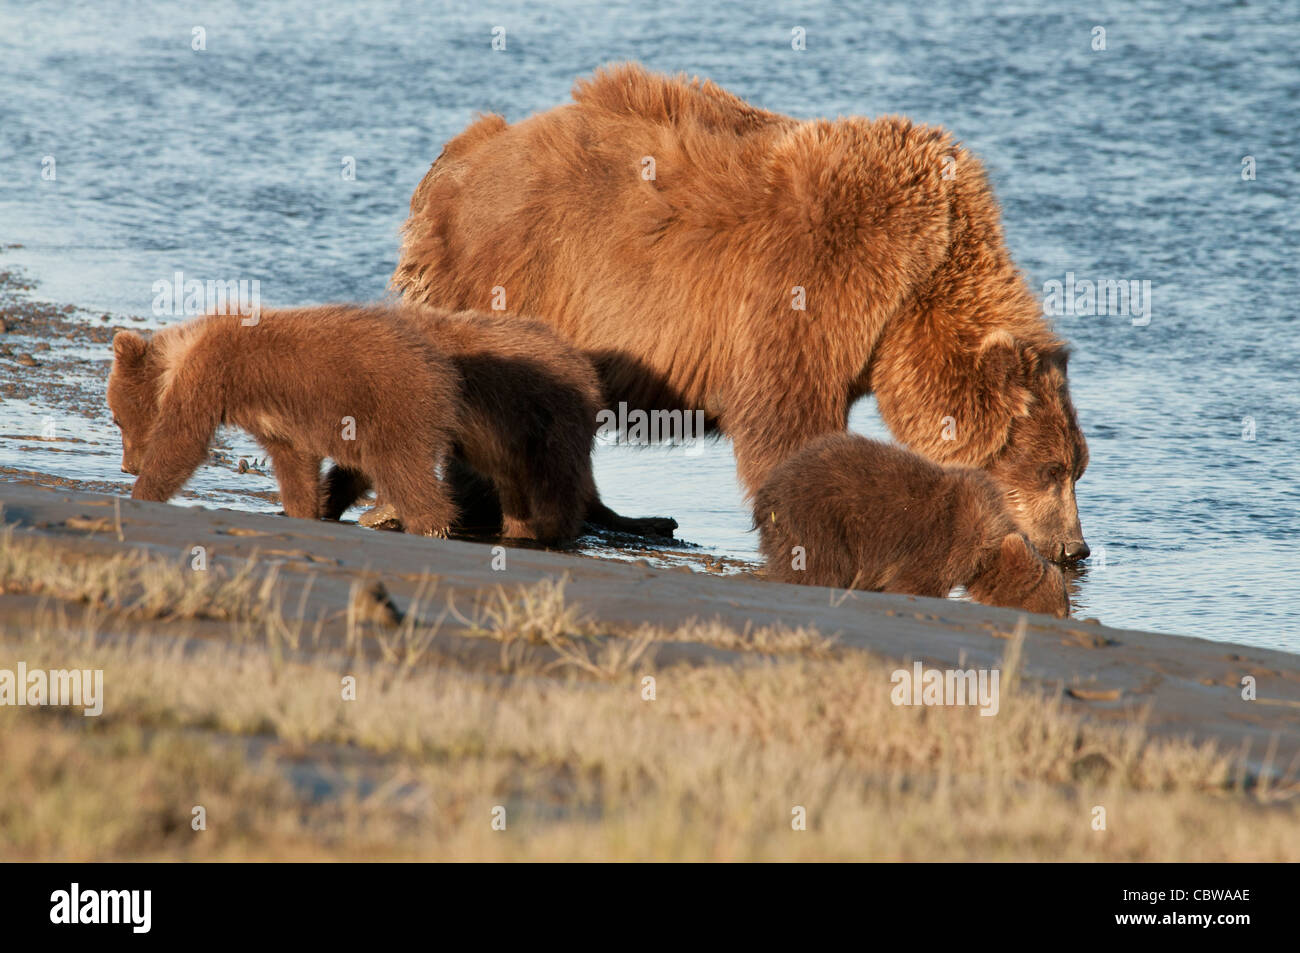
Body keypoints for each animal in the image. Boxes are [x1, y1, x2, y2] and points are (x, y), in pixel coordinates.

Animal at [390, 63, 1092, 561]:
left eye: (1078, 466)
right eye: (1052, 468)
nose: (1075, 548)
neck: (913, 289)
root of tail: (454, 159)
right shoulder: (819, 273)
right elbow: (787, 411)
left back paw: (629, 517)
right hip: (520, 270)